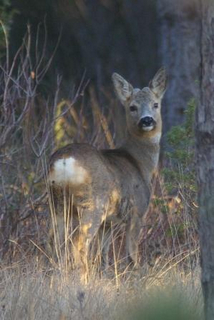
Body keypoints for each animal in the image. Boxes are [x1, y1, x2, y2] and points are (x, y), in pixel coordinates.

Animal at [47, 67, 167, 278]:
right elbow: (131, 253)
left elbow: (102, 253)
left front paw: (105, 272)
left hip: (58, 203)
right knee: (78, 242)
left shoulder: (109, 223)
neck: (139, 163)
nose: (147, 120)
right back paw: (83, 278)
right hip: (93, 204)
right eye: (132, 107)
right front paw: (137, 274)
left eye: (155, 104)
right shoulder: (137, 211)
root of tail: (64, 162)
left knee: (57, 242)